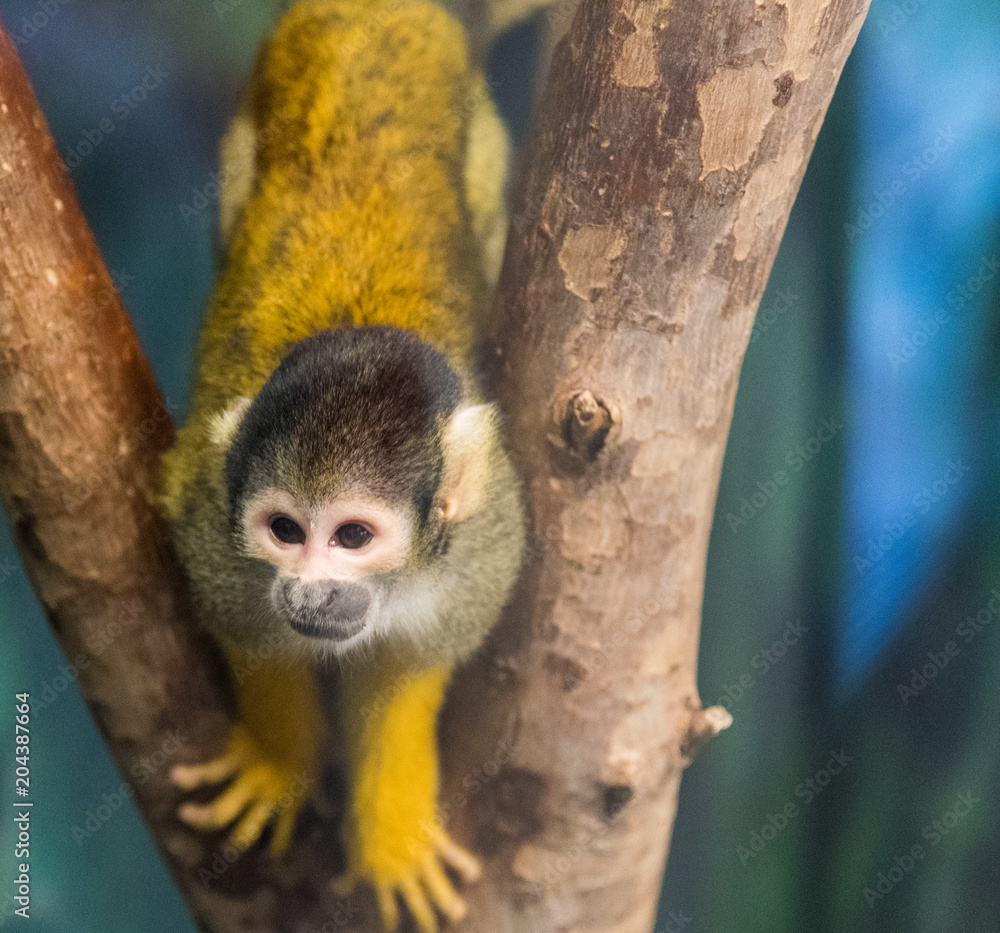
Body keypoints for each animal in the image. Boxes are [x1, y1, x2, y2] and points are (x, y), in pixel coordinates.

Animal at [159, 2, 524, 930]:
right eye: (285, 531)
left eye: (353, 536)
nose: (307, 590)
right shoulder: (210, 515)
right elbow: (255, 638)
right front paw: (278, 763)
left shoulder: (485, 545)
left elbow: (407, 671)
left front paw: (389, 833)